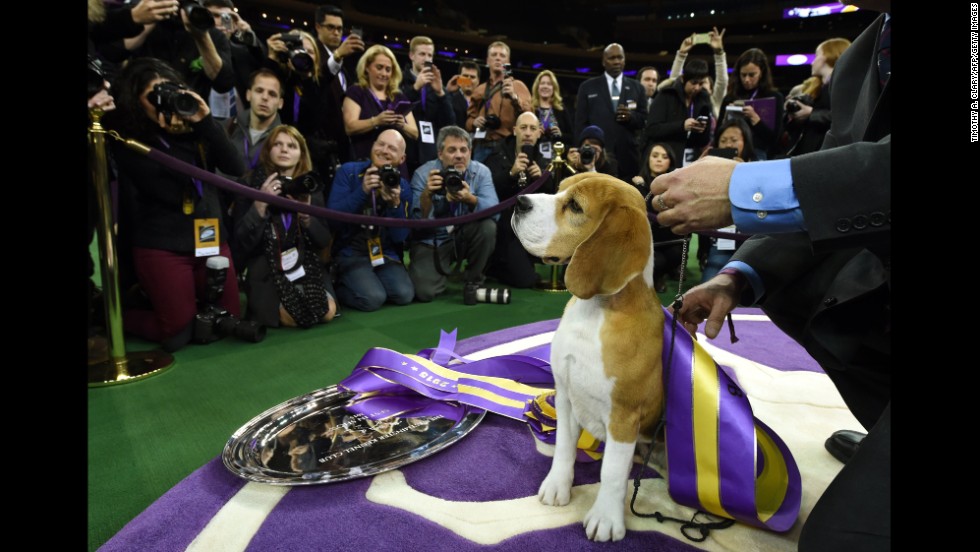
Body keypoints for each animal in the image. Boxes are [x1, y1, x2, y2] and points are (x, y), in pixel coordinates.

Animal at [512, 174, 668, 544]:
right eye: (559, 188)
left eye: (575, 206)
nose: (519, 201)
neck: (594, 311)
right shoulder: (566, 396)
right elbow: (564, 448)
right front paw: (557, 486)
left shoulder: (624, 417)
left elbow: (612, 471)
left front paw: (606, 518)